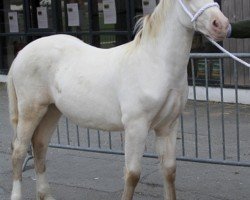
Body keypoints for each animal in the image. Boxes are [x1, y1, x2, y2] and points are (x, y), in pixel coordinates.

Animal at [7, 0, 229, 199]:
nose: (221, 25)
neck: (154, 63)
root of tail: (20, 54)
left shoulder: (168, 127)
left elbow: (169, 171)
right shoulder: (136, 127)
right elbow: (132, 175)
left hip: (52, 110)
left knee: (39, 146)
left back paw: (46, 195)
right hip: (31, 110)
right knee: (18, 151)